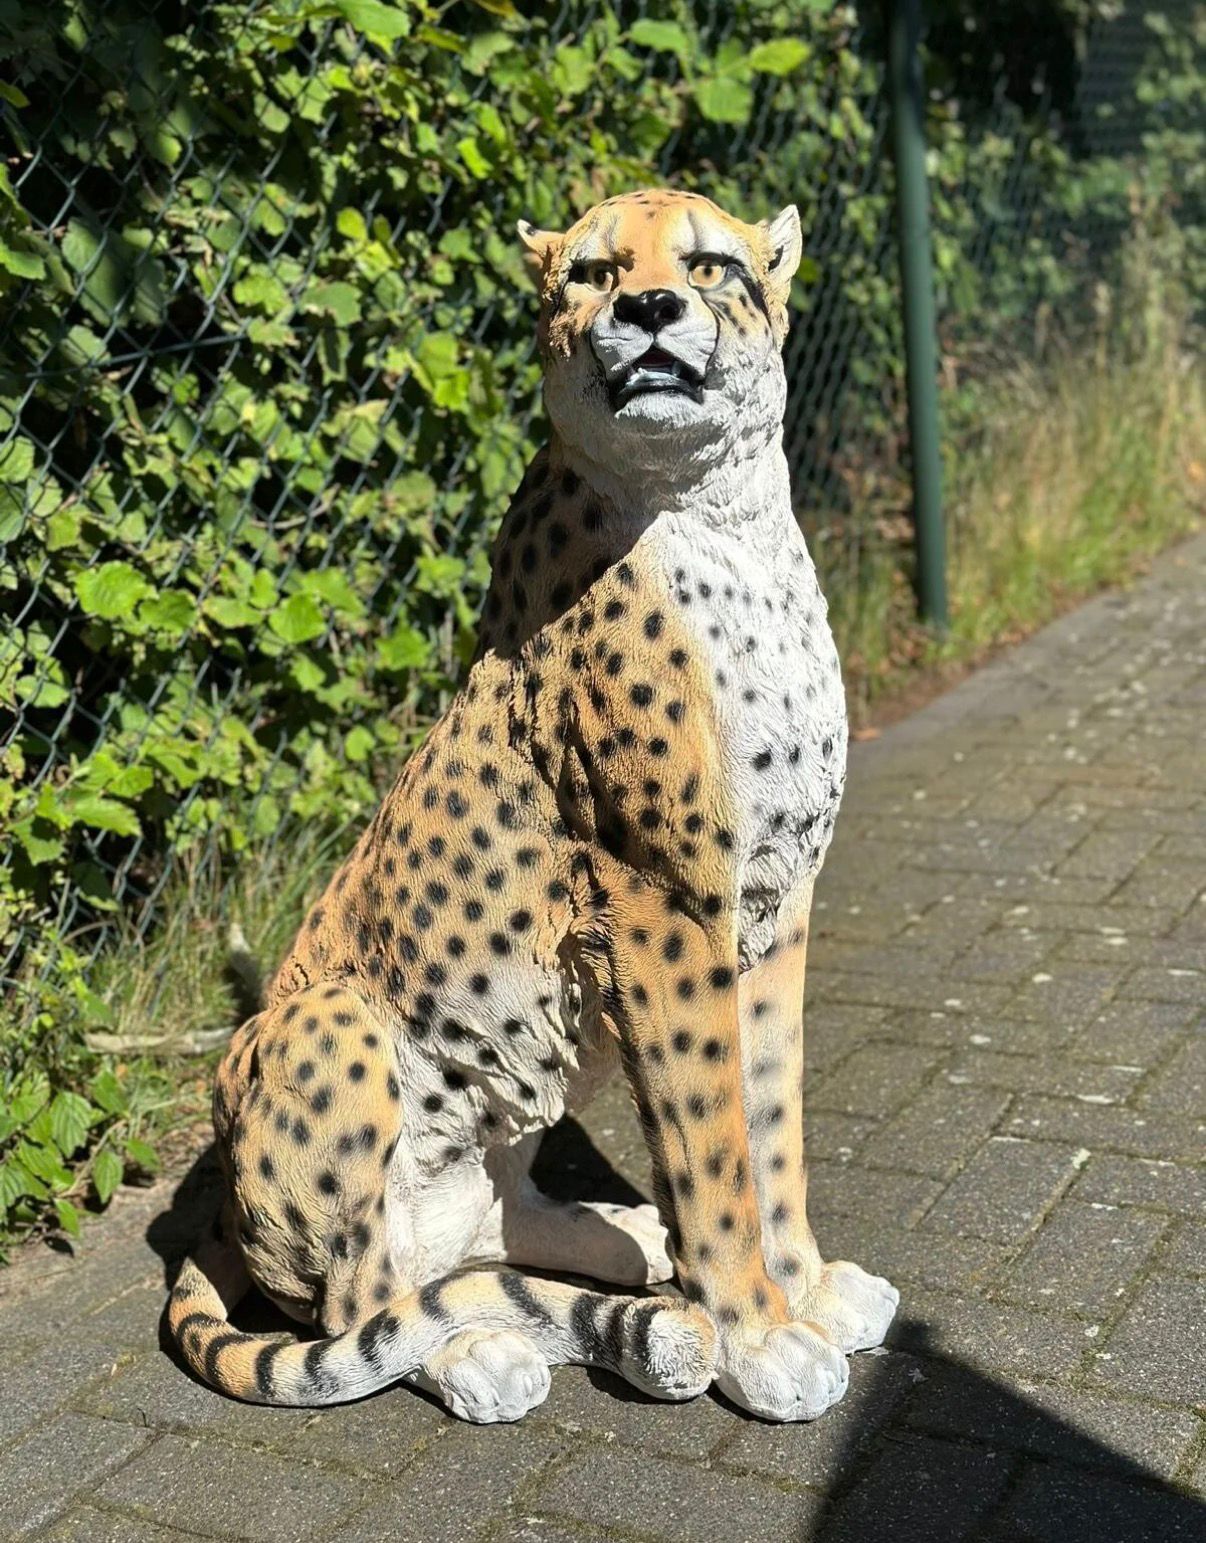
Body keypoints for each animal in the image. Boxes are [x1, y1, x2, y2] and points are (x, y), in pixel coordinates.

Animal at [168, 187, 899, 1426]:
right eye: (596, 273)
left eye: (709, 265)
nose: (648, 310)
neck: (722, 512)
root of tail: (217, 1207)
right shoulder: (663, 905)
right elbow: (713, 1144)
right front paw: (758, 1332)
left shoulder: (778, 900)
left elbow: (770, 1120)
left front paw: (799, 1288)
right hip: (336, 1021)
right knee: (354, 1304)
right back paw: (482, 1350)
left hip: (541, 1058)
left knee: (477, 1234)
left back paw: (627, 1256)